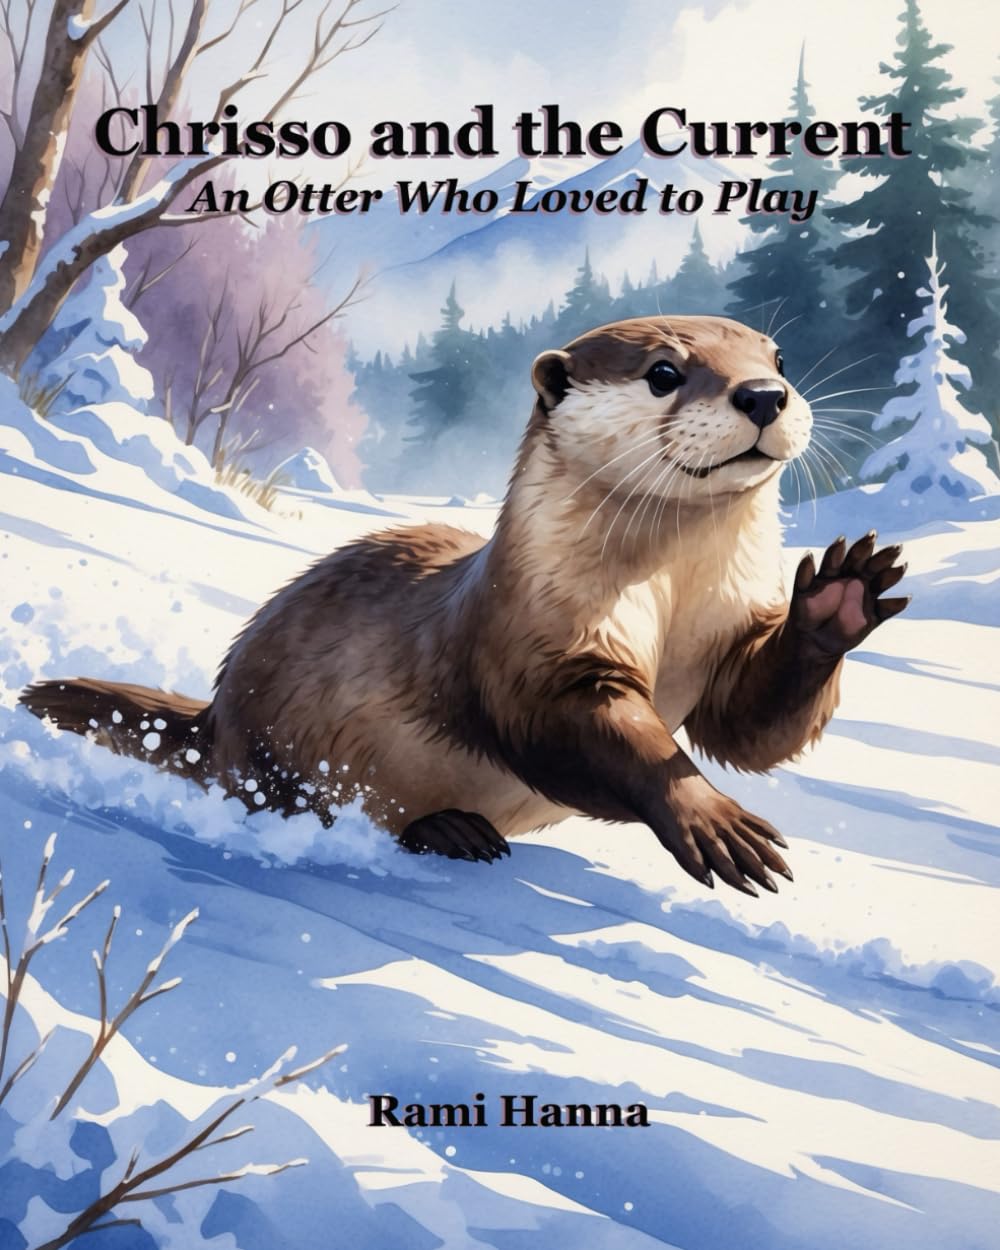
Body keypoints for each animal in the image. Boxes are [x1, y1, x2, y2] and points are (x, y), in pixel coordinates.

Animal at [20, 315, 908, 895]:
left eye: (779, 356)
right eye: (664, 371)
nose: (764, 394)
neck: (670, 604)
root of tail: (216, 717)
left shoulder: (726, 635)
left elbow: (746, 727)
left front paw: (839, 595)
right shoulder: (530, 643)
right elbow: (585, 734)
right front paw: (713, 819)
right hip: (286, 751)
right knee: (305, 806)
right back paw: (446, 829)